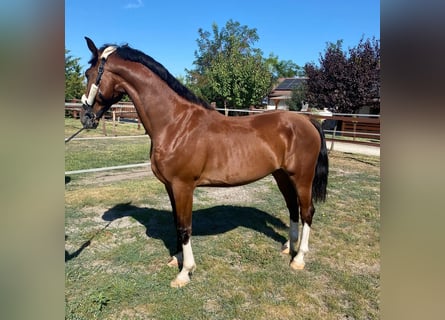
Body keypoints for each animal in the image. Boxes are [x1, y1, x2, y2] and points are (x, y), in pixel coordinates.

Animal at [81, 37, 328, 288]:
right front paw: (176, 258)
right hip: (282, 176)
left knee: (307, 211)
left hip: (302, 178)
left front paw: (184, 272)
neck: (175, 123)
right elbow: (176, 222)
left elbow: (184, 226)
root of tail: (308, 122)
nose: (86, 117)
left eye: (88, 73)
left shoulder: (183, 186)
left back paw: (299, 258)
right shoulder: (170, 187)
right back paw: (288, 247)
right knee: (293, 209)